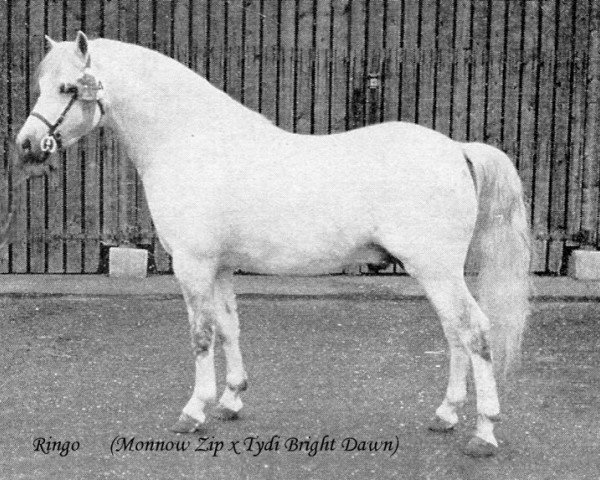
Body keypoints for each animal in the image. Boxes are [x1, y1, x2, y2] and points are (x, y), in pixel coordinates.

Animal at [15, 32, 528, 458]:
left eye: (67, 88)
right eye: (42, 84)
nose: (26, 145)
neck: (193, 142)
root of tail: (457, 149)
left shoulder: (193, 265)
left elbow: (202, 335)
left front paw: (194, 411)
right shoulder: (220, 268)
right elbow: (229, 328)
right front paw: (230, 400)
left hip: (436, 270)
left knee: (475, 333)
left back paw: (483, 433)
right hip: (436, 273)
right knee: (455, 335)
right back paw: (445, 415)